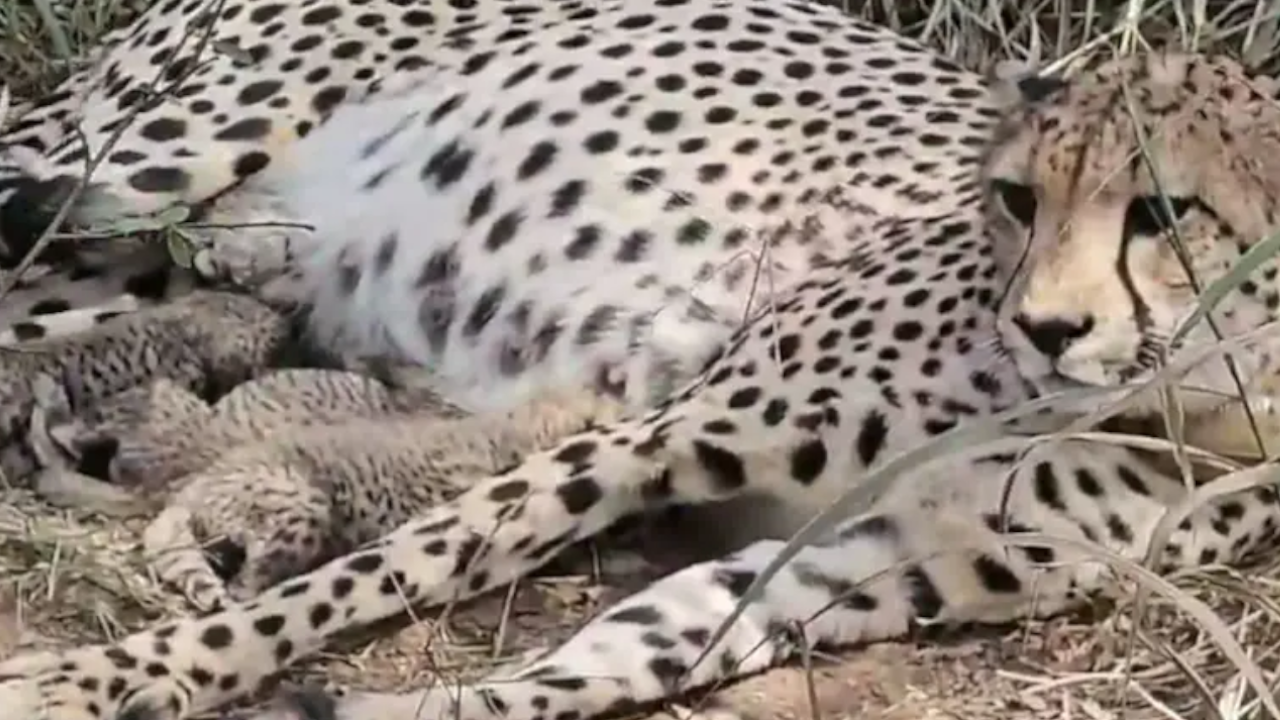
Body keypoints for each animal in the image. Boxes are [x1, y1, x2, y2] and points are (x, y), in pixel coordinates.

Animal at [1, 1, 1280, 719]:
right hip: (141, 158)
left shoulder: (884, 555)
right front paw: (104, 678)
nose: (1045, 329)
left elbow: (629, 651)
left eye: (1161, 214)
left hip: (139, 260)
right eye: (1018, 199)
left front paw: (404, 707)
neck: (1198, 394)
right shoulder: (655, 434)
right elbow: (392, 568)